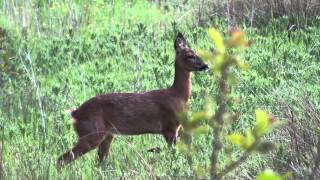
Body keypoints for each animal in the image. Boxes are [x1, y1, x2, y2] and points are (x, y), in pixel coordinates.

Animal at [57, 32, 208, 167]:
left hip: (106, 135)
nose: (206, 65)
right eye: (190, 55)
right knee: (62, 159)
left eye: (196, 52)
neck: (177, 96)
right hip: (91, 133)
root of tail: (74, 113)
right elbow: (173, 155)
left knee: (98, 162)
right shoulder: (169, 127)